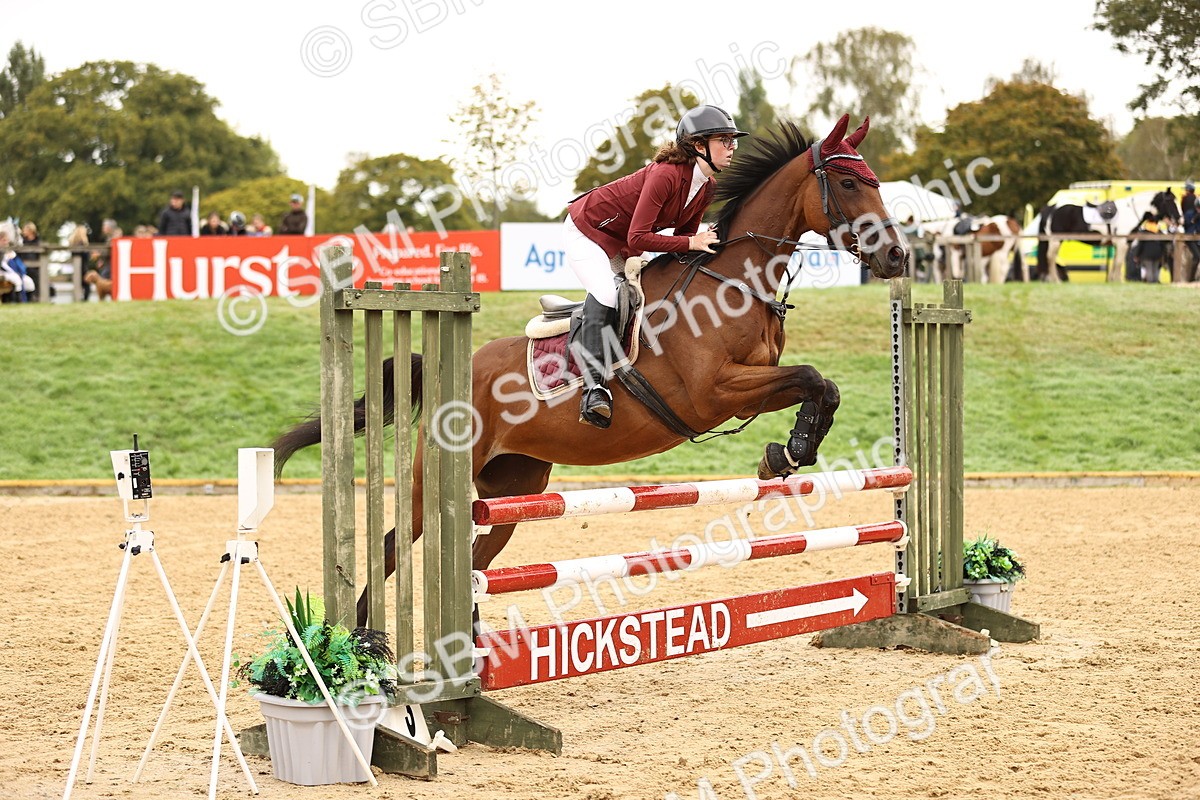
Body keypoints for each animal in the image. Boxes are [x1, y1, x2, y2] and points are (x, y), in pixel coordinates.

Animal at [272, 115, 910, 626]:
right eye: (849, 182)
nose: (898, 256)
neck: (732, 280)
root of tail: (451, 367)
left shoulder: (748, 388)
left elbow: (822, 385)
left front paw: (786, 452)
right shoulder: (715, 391)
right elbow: (811, 377)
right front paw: (792, 450)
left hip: (514, 488)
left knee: (477, 558)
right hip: (438, 478)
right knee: (394, 546)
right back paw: (359, 643)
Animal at [1035, 190, 1180, 282]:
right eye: (1170, 201)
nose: (1179, 218)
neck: (1130, 211)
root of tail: (1051, 207)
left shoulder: (1119, 244)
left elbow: (1115, 262)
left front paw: (1112, 280)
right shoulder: (1122, 243)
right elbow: (1119, 262)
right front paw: (1118, 281)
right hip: (1055, 239)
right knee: (1050, 258)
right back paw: (1055, 280)